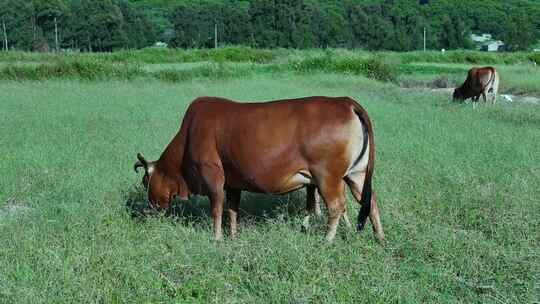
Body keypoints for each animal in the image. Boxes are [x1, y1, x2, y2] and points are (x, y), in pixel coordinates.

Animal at [134, 96, 384, 243]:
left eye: (146, 182)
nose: (150, 208)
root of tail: (346, 102)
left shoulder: (213, 175)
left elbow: (217, 208)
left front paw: (217, 239)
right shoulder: (233, 181)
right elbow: (232, 209)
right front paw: (233, 236)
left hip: (327, 176)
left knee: (336, 207)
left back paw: (327, 240)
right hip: (356, 175)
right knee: (370, 202)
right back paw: (380, 238)